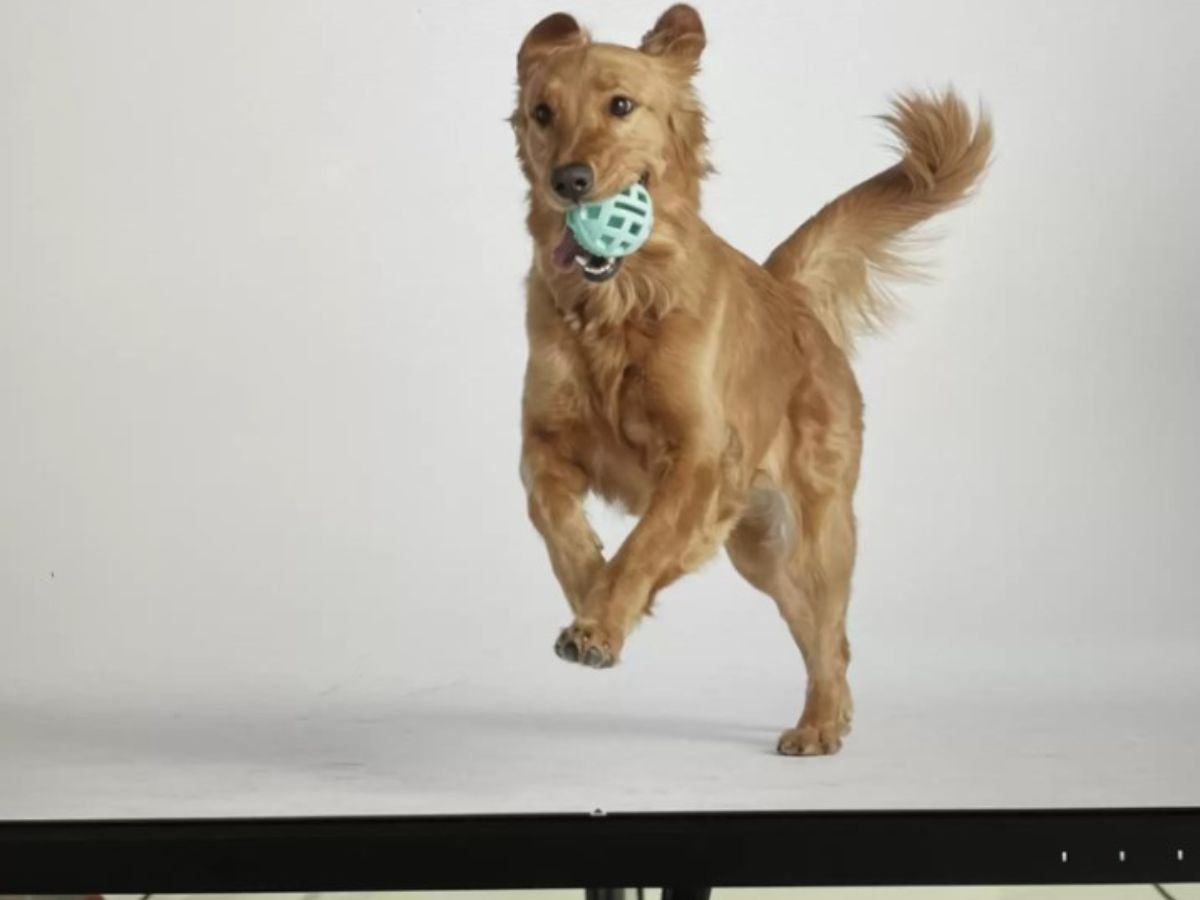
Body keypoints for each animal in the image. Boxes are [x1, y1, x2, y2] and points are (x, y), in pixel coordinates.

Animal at [511, 3, 988, 758]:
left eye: (621, 106)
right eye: (542, 112)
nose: (570, 180)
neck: (624, 305)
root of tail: (788, 293)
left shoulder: (701, 458)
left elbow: (646, 544)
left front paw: (605, 617)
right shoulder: (543, 445)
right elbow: (559, 525)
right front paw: (594, 602)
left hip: (820, 532)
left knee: (829, 632)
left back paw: (820, 723)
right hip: (760, 552)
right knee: (823, 635)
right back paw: (832, 714)